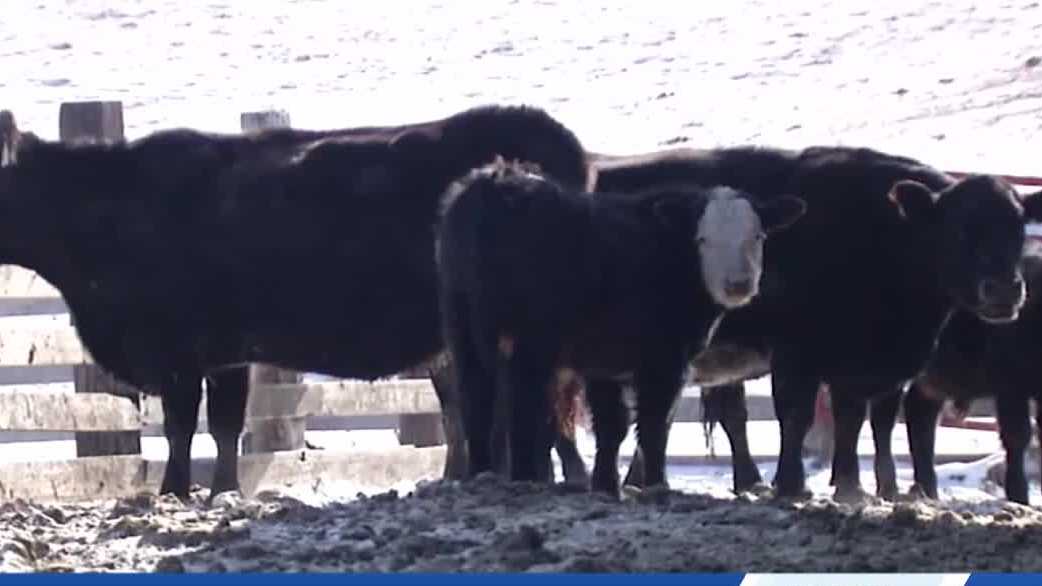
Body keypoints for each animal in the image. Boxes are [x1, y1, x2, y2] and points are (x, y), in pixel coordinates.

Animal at [0, 104, 590, 499]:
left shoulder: (178, 348)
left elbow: (182, 425)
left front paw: (174, 490)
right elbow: (225, 425)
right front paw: (224, 491)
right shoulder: (225, 351)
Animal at [435, 157, 806, 495]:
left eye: (757, 236)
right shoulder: (665, 359)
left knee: (475, 396)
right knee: (521, 400)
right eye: (702, 239)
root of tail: (496, 182)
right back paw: (523, 477)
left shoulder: (604, 362)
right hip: (530, 338)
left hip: (461, 325)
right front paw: (656, 484)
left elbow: (612, 425)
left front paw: (605, 485)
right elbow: (655, 423)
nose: (738, 284)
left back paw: (483, 473)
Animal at [561, 145, 1040, 501]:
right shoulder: (798, 353)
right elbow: (797, 414)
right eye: (960, 229)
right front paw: (792, 485)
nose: (1004, 290)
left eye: (1017, 230)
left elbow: (854, 420)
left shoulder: (863, 366)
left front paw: (851, 488)